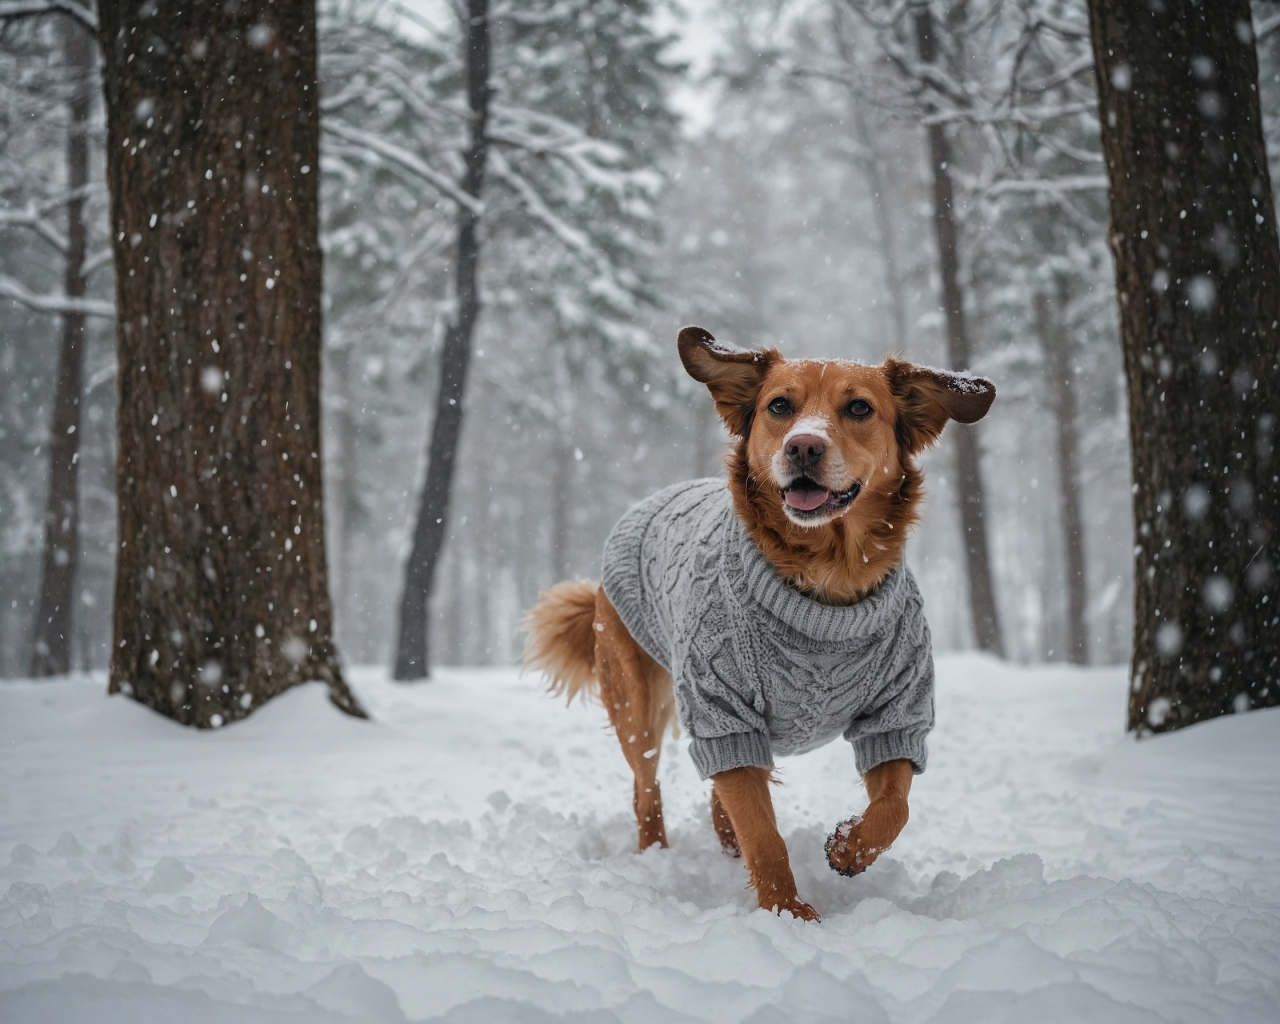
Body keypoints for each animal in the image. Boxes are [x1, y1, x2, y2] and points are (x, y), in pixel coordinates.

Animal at [519, 326, 988, 921]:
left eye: (859, 407)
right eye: (779, 406)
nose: (803, 446)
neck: (825, 584)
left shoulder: (898, 712)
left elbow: (894, 807)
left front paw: (849, 848)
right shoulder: (719, 706)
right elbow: (765, 836)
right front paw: (788, 913)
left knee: (723, 800)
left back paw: (727, 849)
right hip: (636, 701)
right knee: (648, 790)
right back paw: (656, 855)